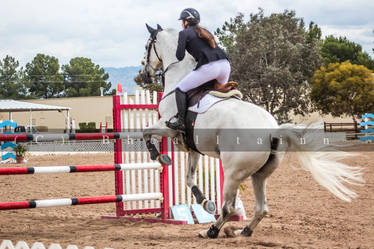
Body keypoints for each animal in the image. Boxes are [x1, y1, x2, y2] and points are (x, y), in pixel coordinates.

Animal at [139, 24, 364, 238]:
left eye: (147, 45)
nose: (145, 73)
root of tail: (273, 131)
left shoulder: (168, 127)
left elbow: (146, 132)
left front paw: (159, 156)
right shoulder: (193, 147)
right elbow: (189, 178)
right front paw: (204, 201)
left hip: (233, 173)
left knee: (229, 208)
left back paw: (211, 231)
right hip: (260, 175)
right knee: (261, 208)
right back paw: (242, 231)